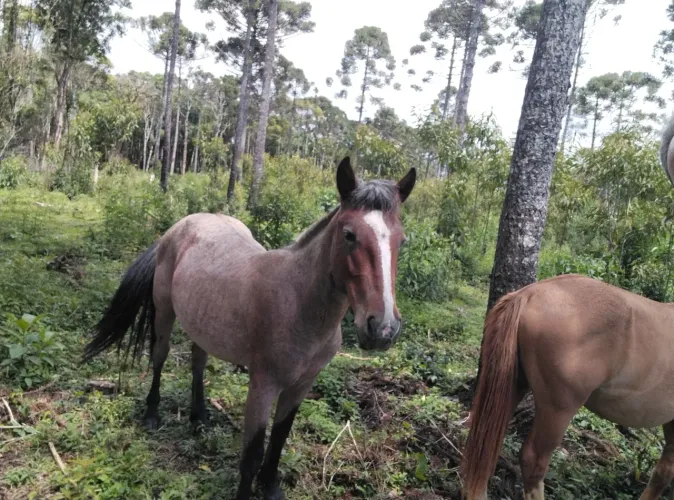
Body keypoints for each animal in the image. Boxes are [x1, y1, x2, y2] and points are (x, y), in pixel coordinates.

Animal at [82, 157, 416, 500]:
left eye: (401, 240)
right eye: (349, 234)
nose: (383, 328)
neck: (299, 303)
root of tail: (177, 228)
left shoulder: (301, 385)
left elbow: (279, 438)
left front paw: (271, 487)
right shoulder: (263, 385)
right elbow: (252, 454)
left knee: (198, 362)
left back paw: (199, 417)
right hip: (164, 314)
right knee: (159, 357)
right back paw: (152, 414)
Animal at [461, 273, 674, 500]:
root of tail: (529, 293)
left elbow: (663, 473)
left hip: (512, 388)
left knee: (484, 442)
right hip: (558, 410)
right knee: (532, 460)